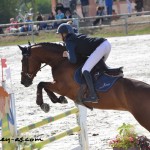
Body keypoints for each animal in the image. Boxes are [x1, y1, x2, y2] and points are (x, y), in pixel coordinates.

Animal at [18, 41, 150, 132]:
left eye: (23, 61)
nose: (23, 82)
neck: (61, 61)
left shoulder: (62, 87)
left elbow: (42, 84)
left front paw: (44, 103)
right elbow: (44, 85)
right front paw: (58, 99)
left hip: (144, 118)